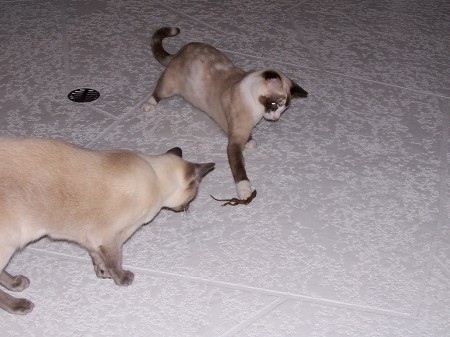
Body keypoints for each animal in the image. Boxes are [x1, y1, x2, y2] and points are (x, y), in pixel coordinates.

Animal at [0, 135, 214, 314]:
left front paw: (102, 273)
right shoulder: (110, 238)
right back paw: (19, 304)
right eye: (193, 195)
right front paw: (121, 279)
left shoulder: (91, 238)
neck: (156, 178)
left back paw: (17, 283)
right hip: (8, 244)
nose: (187, 208)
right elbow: (115, 260)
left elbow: (97, 256)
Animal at [142, 27, 308, 200]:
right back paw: (148, 104)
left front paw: (250, 142)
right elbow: (239, 170)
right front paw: (245, 192)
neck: (256, 108)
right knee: (158, 92)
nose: (275, 118)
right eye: (275, 105)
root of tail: (180, 51)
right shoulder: (234, 142)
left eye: (283, 110)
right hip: (169, 87)